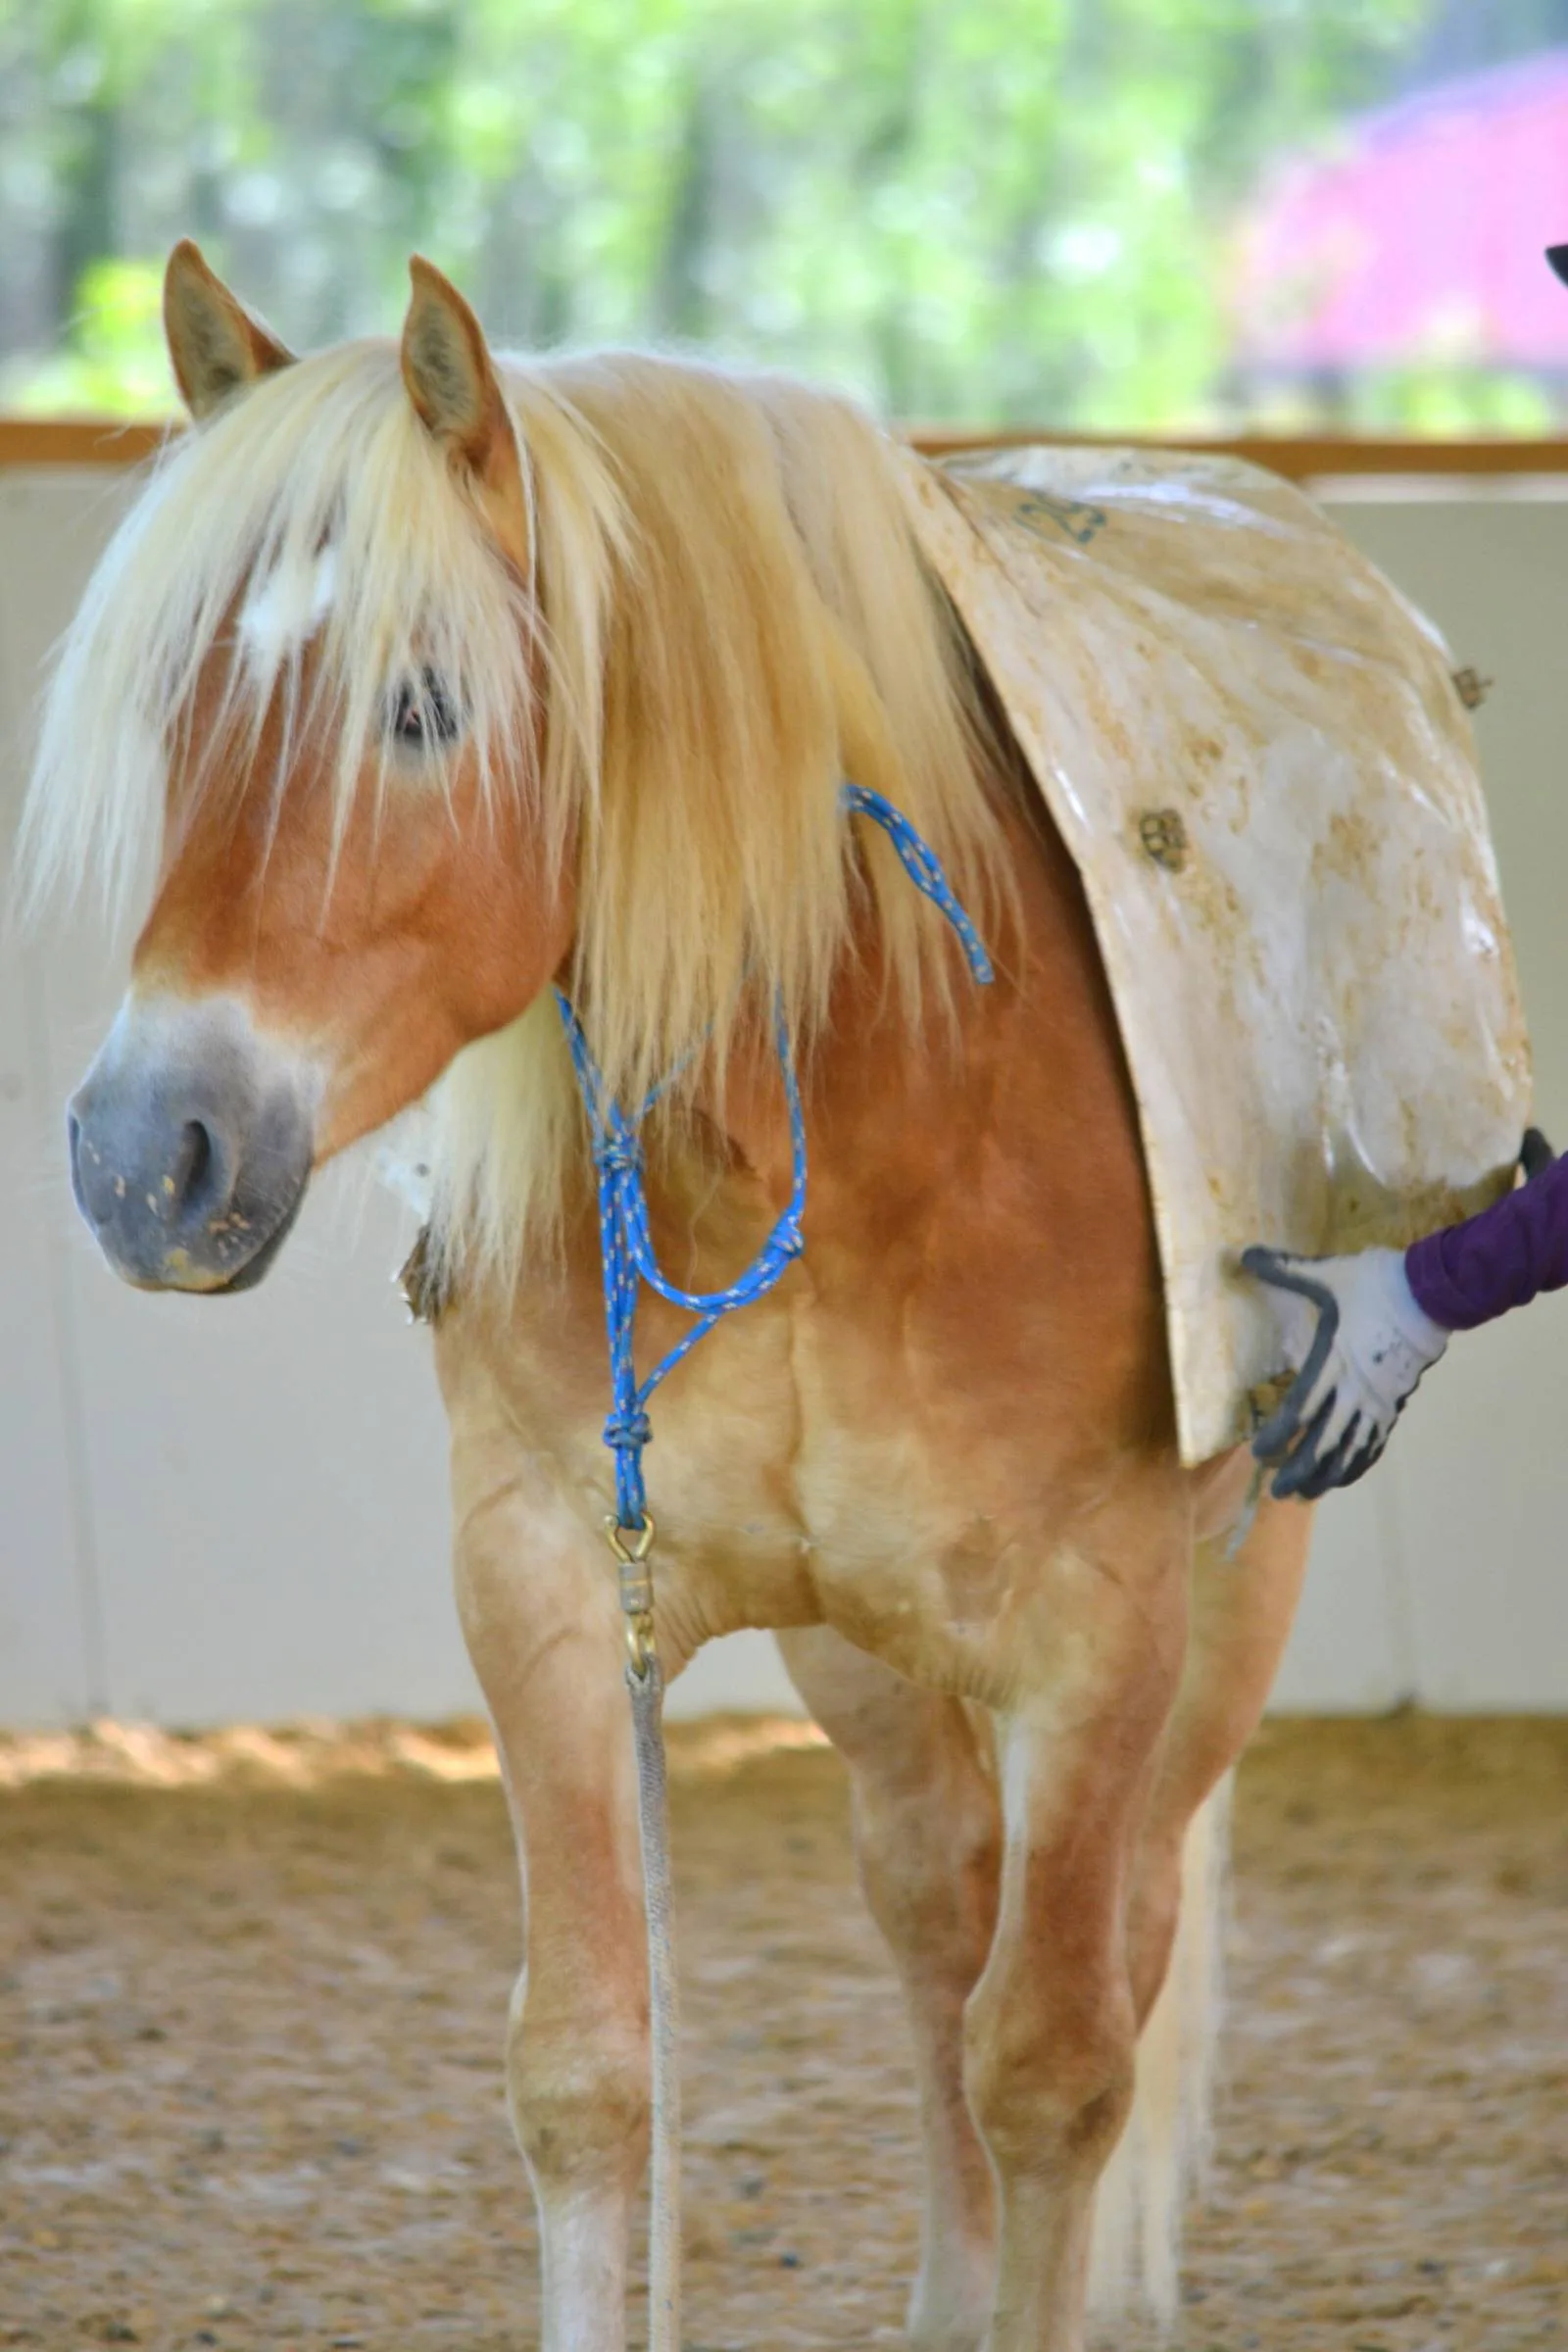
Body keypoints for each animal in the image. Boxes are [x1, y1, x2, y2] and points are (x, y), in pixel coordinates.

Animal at [26, 240, 1314, 2352]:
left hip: (1226, 1608)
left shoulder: (1097, 1639)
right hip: (859, 1660)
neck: (854, 1100)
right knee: (930, 1906)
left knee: (1111, 1950)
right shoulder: (545, 1582)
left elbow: (1055, 2067)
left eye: (420, 705)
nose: (148, 1153)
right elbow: (585, 2068)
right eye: (181, 704)